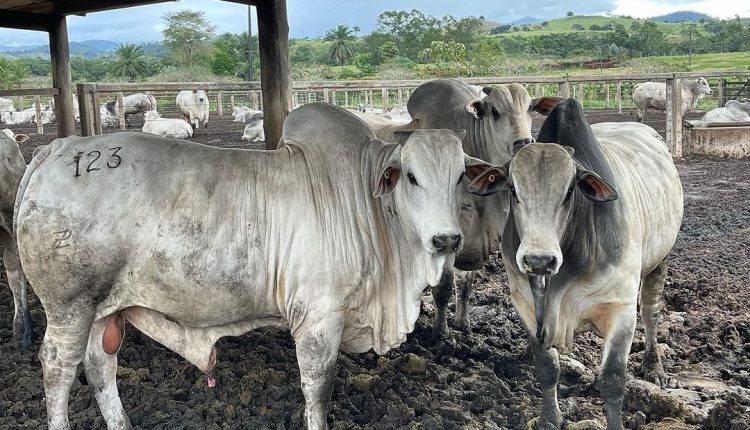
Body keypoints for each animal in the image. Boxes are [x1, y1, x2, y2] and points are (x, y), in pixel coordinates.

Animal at [14, 102, 506, 428]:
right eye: (411, 177)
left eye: (460, 177)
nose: (447, 239)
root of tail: (58, 148)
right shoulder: (318, 319)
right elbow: (318, 392)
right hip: (70, 306)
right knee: (58, 370)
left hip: (104, 307)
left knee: (100, 366)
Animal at [406, 79, 560, 338]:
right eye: (495, 112)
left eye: (529, 108)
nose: (523, 143)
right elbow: (443, 287)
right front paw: (441, 333)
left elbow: (465, 284)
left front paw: (463, 323)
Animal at [494, 99, 688, 428]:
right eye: (512, 189)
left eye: (570, 190)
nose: (539, 260)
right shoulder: (525, 304)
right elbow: (547, 368)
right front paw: (549, 418)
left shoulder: (621, 309)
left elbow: (612, 379)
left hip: (660, 260)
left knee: (651, 314)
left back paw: (655, 368)